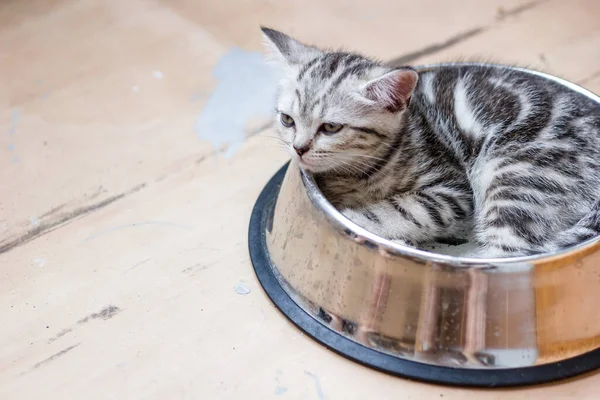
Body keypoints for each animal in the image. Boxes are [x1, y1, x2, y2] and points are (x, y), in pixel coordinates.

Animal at [262, 28, 600, 260]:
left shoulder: (452, 191)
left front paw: (355, 220)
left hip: (515, 172)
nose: (299, 148)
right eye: (288, 120)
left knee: (507, 253)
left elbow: (400, 211)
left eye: (331, 127)